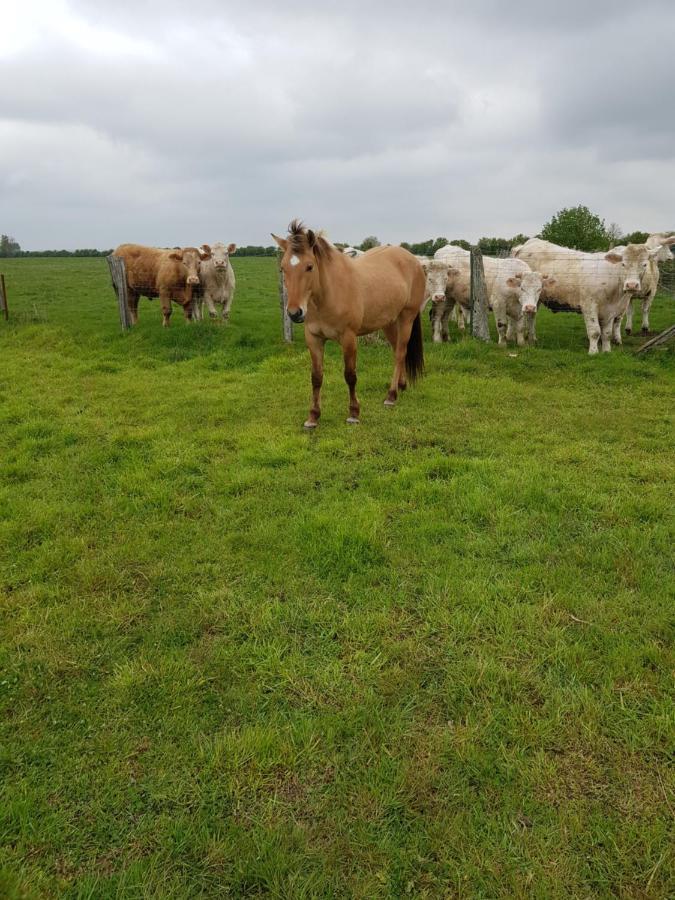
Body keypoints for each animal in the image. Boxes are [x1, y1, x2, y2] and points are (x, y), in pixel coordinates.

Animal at [272, 219, 426, 428]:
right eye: (283, 268)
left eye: (309, 266)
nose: (295, 313)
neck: (329, 294)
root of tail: (413, 260)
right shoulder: (314, 338)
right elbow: (316, 377)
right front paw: (313, 416)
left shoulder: (349, 338)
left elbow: (350, 375)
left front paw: (354, 413)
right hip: (389, 322)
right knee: (398, 351)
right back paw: (401, 385)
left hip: (406, 317)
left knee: (400, 353)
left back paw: (391, 395)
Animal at [516, 239, 664, 356]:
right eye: (623, 264)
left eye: (644, 264)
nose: (632, 285)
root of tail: (528, 243)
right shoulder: (589, 306)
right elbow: (595, 331)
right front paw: (593, 352)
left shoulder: (611, 310)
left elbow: (607, 333)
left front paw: (606, 351)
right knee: (529, 316)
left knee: (531, 316)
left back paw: (532, 338)